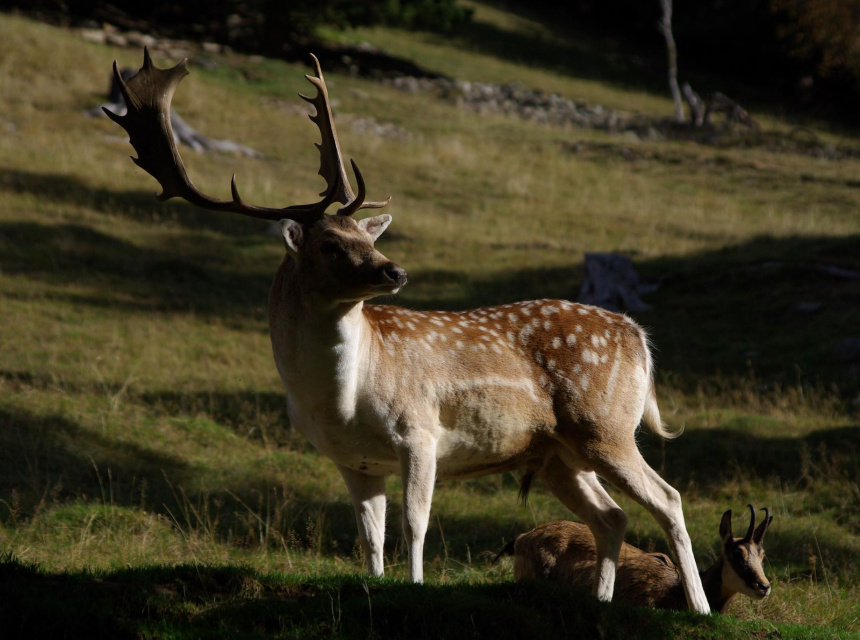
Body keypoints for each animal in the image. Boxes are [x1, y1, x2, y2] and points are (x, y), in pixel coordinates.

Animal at [105, 49, 711, 614]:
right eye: (331, 245)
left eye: (367, 237)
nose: (394, 271)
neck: (341, 399)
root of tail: (638, 335)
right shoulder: (351, 459)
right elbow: (370, 537)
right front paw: (374, 586)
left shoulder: (419, 430)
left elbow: (415, 524)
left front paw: (416, 587)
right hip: (557, 453)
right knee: (612, 516)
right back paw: (603, 602)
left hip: (604, 424)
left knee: (669, 498)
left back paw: (701, 608)